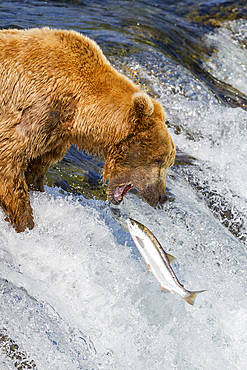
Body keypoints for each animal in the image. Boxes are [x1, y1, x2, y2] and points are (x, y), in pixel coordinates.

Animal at [0, 28, 176, 231]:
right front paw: (26, 224)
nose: (162, 197)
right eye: (158, 159)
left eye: (168, 163)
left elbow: (35, 171)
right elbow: (9, 161)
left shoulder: (52, 138)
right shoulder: (36, 110)